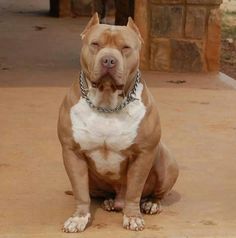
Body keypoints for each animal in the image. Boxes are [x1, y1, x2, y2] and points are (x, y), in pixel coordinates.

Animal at [57, 13, 179, 232]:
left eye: (126, 47)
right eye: (95, 44)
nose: (108, 60)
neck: (107, 104)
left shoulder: (143, 154)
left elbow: (134, 191)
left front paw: (132, 217)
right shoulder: (72, 152)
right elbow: (80, 191)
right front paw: (79, 218)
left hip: (166, 163)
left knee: (154, 193)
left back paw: (151, 203)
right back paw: (109, 201)